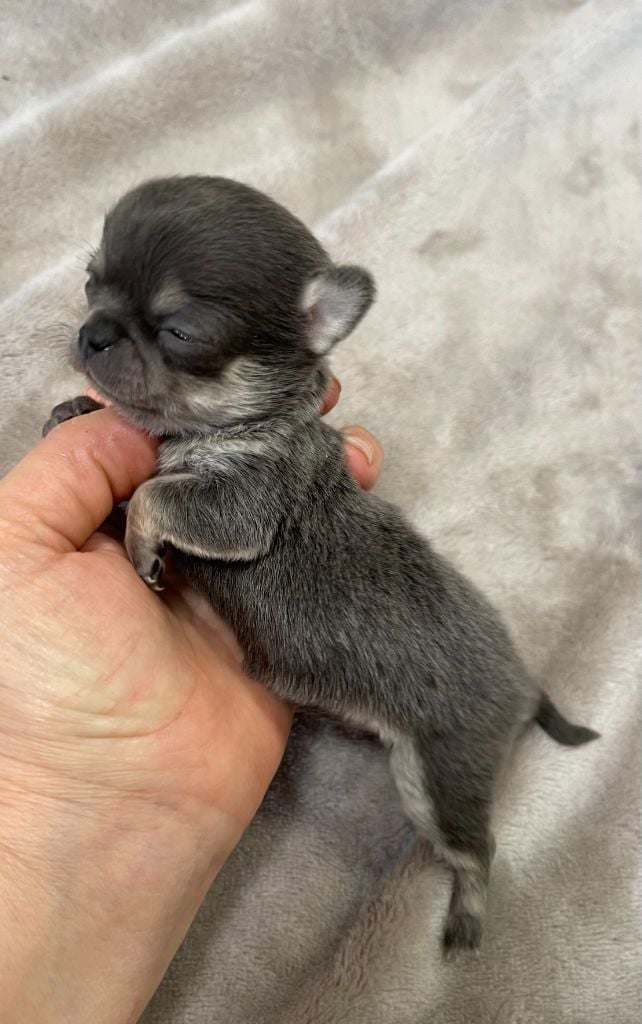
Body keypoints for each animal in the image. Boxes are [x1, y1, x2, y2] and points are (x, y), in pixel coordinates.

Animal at [44, 175, 598, 955]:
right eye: (91, 283)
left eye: (180, 331)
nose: (93, 333)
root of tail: (523, 681)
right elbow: (134, 474)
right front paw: (72, 413)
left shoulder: (243, 502)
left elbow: (158, 494)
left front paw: (142, 541)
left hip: (441, 776)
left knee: (477, 849)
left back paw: (465, 919)